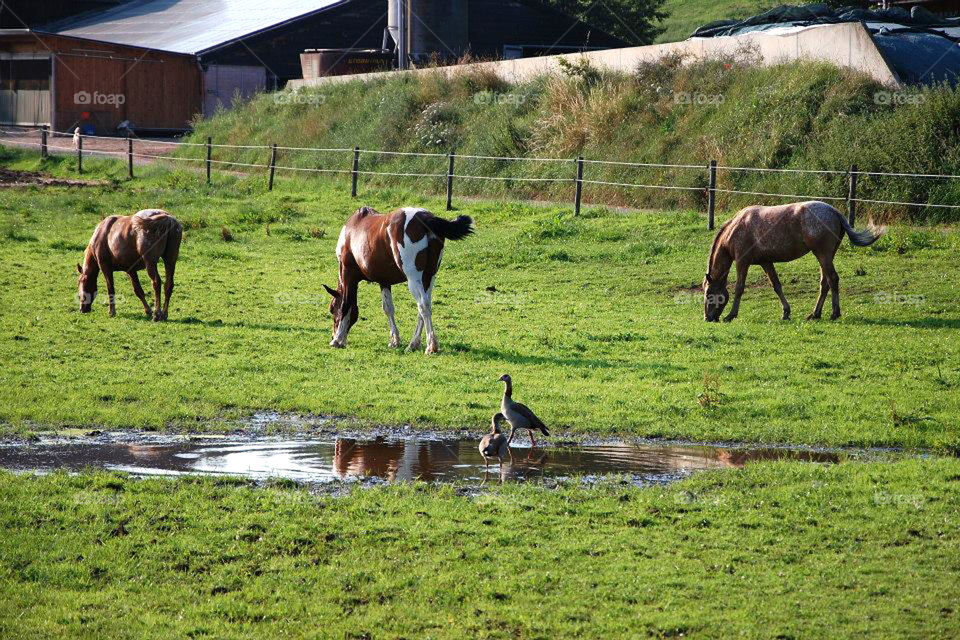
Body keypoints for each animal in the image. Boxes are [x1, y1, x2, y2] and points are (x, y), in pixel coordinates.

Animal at [324, 206, 473, 353]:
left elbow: (346, 305)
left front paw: (338, 339)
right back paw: (414, 344)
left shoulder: (347, 274)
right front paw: (395, 340)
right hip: (428, 277)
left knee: (423, 305)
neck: (352, 229)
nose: (332, 334)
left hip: (414, 279)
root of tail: (426, 218)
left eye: (332, 308)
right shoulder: (384, 281)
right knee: (425, 306)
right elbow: (388, 308)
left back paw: (431, 346)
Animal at [703, 201, 884, 322]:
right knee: (824, 282)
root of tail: (834, 212)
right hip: (825, 256)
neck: (736, 228)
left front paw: (731, 315)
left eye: (708, 294)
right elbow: (776, 286)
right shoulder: (766, 262)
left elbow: (739, 288)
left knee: (832, 279)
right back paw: (815, 314)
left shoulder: (742, 262)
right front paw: (786, 312)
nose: (707, 318)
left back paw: (834, 313)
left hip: (823, 255)